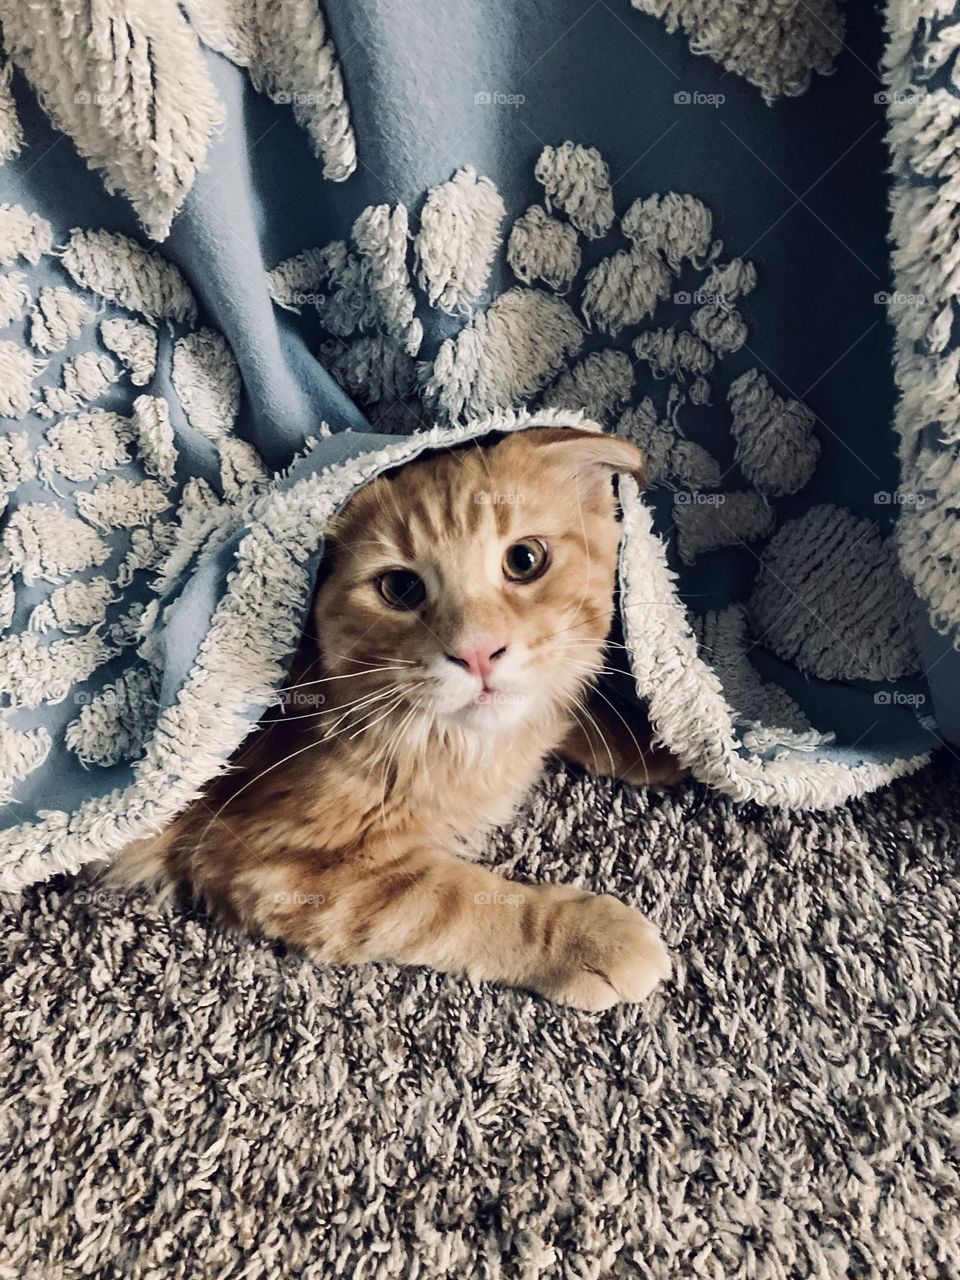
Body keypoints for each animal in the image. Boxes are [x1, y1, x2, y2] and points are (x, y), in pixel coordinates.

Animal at [114, 430, 686, 1008]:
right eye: (401, 589)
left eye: (525, 559)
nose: (478, 653)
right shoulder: (278, 865)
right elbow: (462, 903)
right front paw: (586, 937)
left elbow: (570, 706)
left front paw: (662, 738)